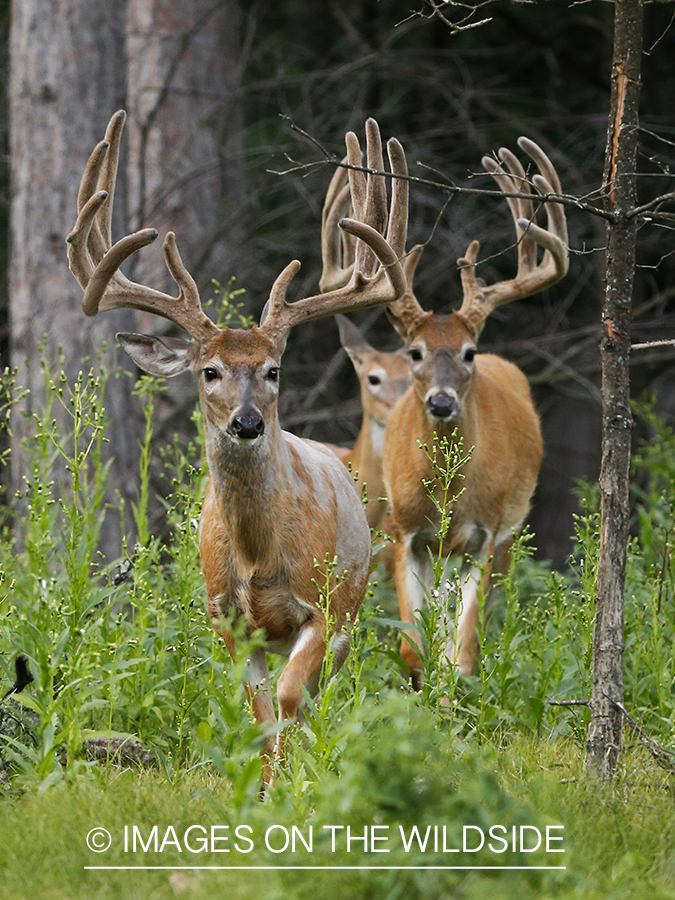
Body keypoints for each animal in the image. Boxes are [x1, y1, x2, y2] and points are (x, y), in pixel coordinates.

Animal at [66, 109, 410, 776]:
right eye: (209, 370)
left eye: (274, 369)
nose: (247, 423)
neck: (257, 558)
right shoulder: (224, 614)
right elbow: (258, 710)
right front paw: (266, 784)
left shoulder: (323, 606)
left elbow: (291, 695)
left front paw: (296, 781)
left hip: (354, 601)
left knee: (322, 691)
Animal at [382, 139, 568, 684]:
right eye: (414, 351)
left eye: (469, 352)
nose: (442, 402)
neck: (447, 493)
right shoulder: (404, 530)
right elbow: (413, 649)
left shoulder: (484, 534)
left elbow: (461, 651)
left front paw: (449, 700)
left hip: (508, 533)